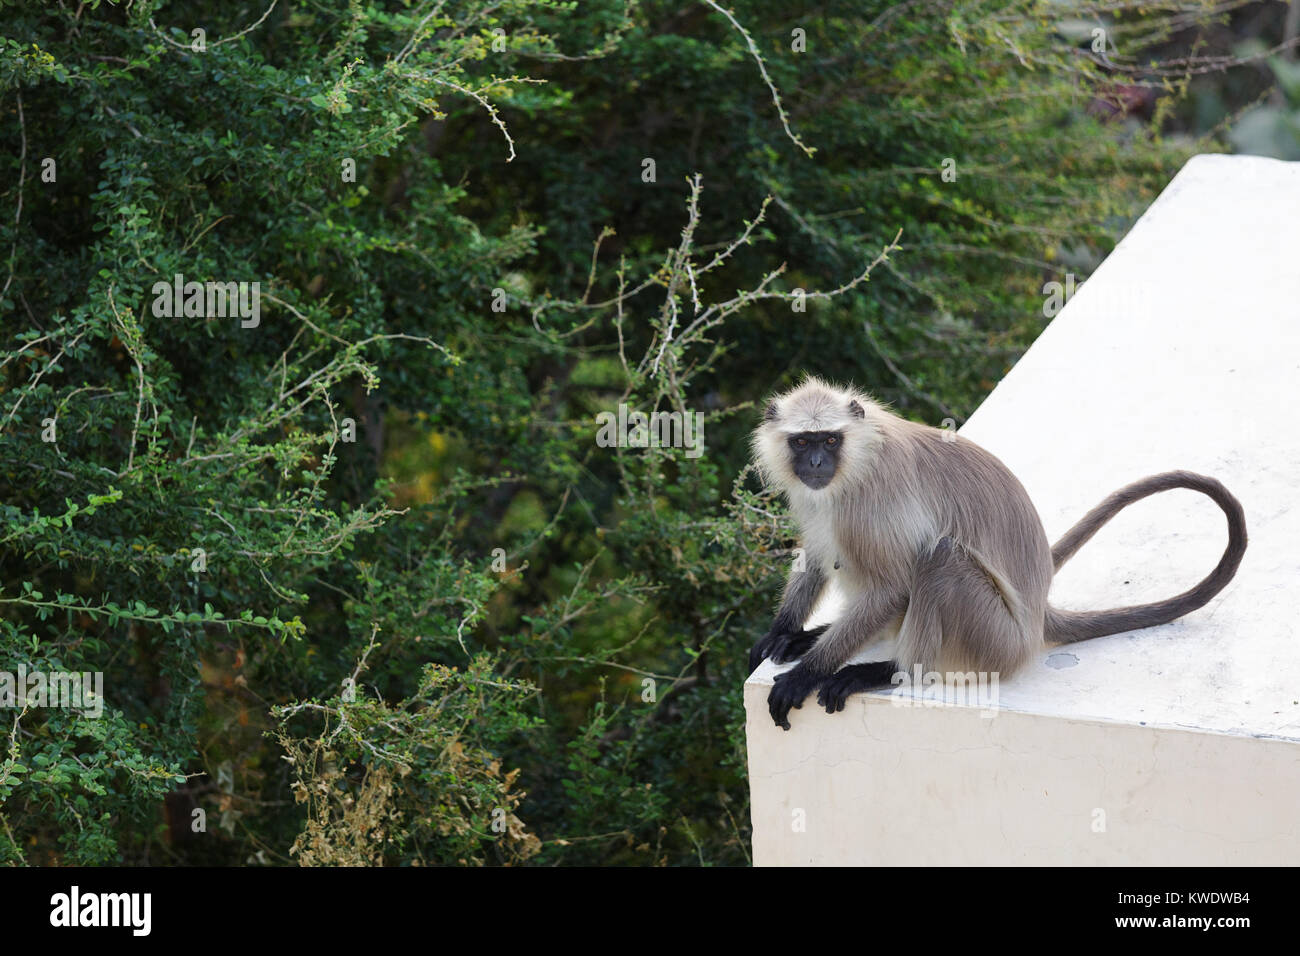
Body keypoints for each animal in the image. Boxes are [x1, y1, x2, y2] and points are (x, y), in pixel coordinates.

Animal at [749, 376, 1247, 730]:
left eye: (830, 440)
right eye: (802, 441)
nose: (816, 463)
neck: (859, 456)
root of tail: (1035, 621)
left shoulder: (870, 497)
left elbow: (891, 585)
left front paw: (806, 673)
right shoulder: (819, 496)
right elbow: (815, 555)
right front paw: (781, 633)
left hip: (993, 637)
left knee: (940, 557)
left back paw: (890, 669)